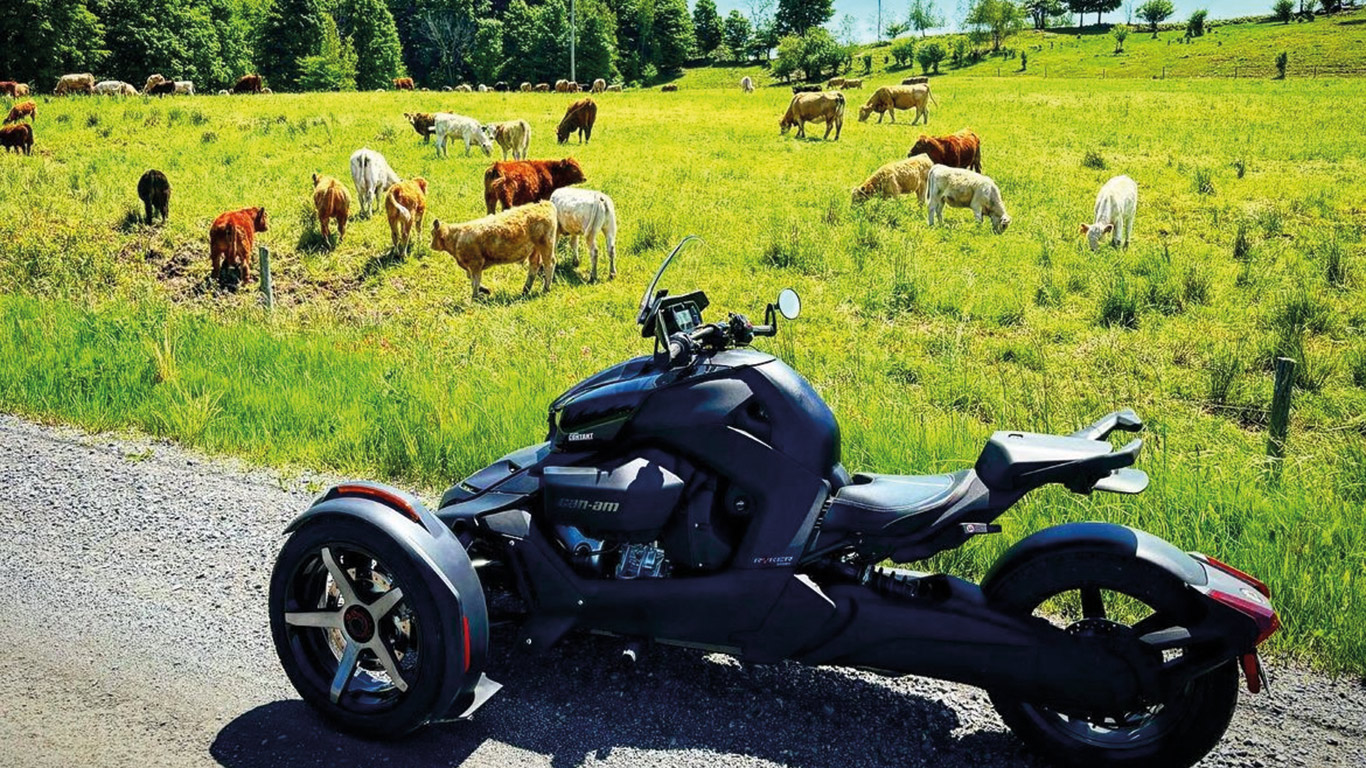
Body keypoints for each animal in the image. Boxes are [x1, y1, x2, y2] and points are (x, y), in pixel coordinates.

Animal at [426, 198, 554, 297]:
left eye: (432, 233)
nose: (431, 245)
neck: (456, 237)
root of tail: (543, 204)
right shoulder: (470, 266)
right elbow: (471, 278)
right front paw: (485, 290)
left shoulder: (476, 263)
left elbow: (475, 281)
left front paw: (475, 298)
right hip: (535, 250)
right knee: (534, 266)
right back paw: (525, 291)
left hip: (546, 245)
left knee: (549, 264)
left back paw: (545, 289)